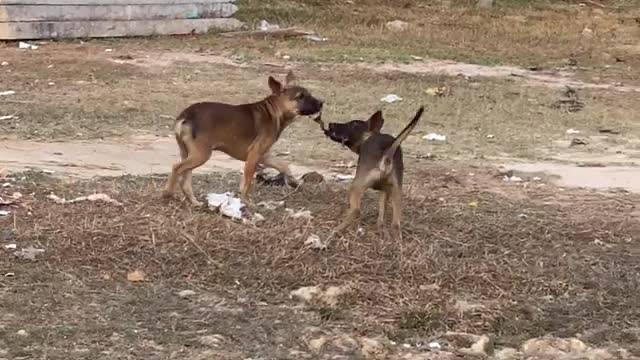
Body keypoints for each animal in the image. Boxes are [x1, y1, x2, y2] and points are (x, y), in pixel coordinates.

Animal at [162, 71, 322, 205]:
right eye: (300, 96)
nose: (321, 103)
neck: (274, 111)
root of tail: (186, 115)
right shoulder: (254, 155)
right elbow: (248, 180)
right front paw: (246, 200)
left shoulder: (264, 156)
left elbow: (284, 166)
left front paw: (294, 182)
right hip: (201, 154)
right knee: (176, 168)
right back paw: (167, 193)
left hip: (188, 152)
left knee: (185, 179)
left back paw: (193, 201)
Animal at [312, 107, 422, 242]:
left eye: (353, 124)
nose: (331, 124)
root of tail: (387, 152)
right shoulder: (385, 192)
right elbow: (381, 218)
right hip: (397, 193)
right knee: (395, 224)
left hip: (356, 186)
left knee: (356, 211)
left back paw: (335, 231)